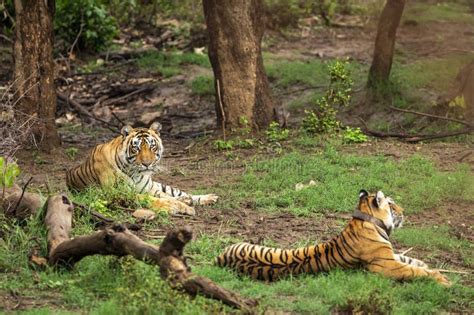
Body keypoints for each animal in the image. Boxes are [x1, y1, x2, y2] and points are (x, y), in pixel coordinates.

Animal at [66, 122, 218, 216]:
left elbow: (166, 196)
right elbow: (155, 199)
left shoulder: (149, 188)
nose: (147, 164)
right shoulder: (119, 193)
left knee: (178, 193)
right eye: (136, 148)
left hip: (158, 185)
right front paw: (176, 207)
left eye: (152, 146)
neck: (136, 173)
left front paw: (185, 205)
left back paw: (208, 197)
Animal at [217, 191, 450, 288]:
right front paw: (442, 279)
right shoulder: (385, 266)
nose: (404, 211)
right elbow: (414, 270)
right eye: (392, 204)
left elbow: (410, 260)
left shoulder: (390, 256)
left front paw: (426, 264)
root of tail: (220, 258)